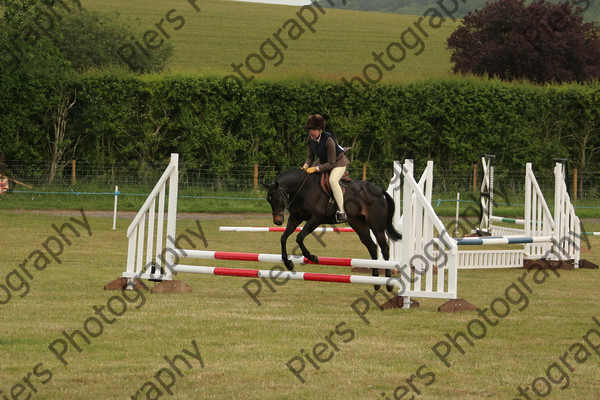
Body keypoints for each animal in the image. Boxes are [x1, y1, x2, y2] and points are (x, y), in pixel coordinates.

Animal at [264, 169, 400, 290]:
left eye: (277, 199)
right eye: (268, 200)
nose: (278, 221)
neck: (302, 188)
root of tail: (379, 190)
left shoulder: (316, 219)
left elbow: (299, 237)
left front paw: (313, 257)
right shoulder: (296, 218)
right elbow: (283, 238)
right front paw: (289, 264)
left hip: (376, 225)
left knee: (384, 248)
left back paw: (388, 284)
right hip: (358, 224)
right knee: (371, 246)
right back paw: (376, 282)